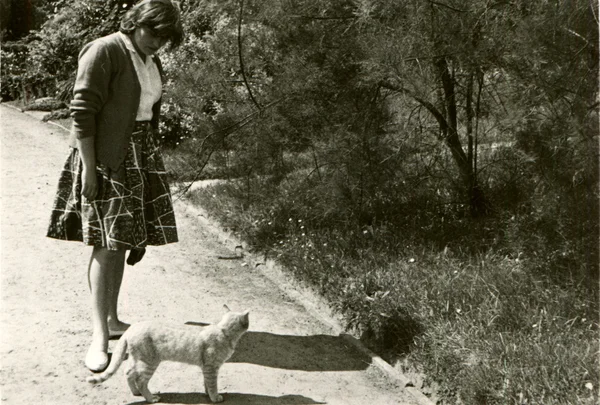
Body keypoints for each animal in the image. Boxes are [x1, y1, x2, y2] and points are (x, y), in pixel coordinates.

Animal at [85, 304, 250, 402]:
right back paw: (150, 398)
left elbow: (206, 383)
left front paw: (207, 394)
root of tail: (131, 329)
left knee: (128, 373)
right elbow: (212, 384)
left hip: (137, 359)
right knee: (141, 381)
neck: (223, 331)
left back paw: (136, 392)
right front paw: (215, 397)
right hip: (150, 363)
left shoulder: (206, 367)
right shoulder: (211, 367)